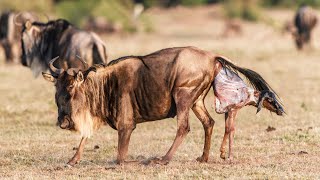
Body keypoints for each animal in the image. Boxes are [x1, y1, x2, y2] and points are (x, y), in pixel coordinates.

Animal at [41, 46, 284, 166]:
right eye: (57, 91)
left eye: (71, 89)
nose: (63, 122)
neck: (105, 84)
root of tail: (212, 56)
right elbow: (84, 138)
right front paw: (72, 160)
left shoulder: (126, 125)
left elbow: (120, 156)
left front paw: (133, 161)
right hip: (196, 101)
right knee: (209, 122)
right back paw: (204, 158)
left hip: (183, 96)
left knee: (184, 127)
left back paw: (163, 159)